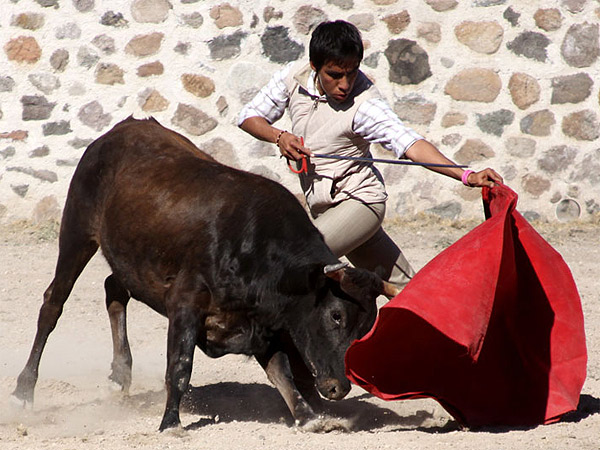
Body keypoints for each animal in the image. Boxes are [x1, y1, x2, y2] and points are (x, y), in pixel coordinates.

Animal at [10, 118, 398, 430]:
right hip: (76, 233)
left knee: (114, 289)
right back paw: (23, 391)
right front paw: (170, 423)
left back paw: (120, 376)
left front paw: (308, 417)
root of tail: (120, 130)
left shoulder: (262, 324)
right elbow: (180, 366)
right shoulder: (185, 304)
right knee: (53, 304)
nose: (339, 388)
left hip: (132, 257)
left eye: (366, 327)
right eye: (335, 315)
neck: (256, 247)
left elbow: (281, 372)